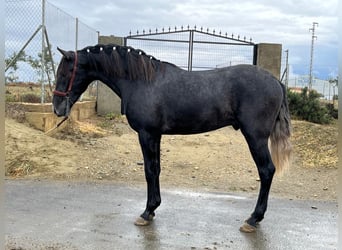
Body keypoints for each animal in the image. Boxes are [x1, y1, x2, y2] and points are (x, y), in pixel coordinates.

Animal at [53, 44, 292, 232]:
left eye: (64, 74)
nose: (57, 108)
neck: (142, 81)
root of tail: (275, 81)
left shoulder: (146, 134)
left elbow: (149, 171)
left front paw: (146, 212)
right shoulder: (155, 135)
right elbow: (156, 169)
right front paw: (153, 209)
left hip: (255, 138)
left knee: (266, 171)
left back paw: (253, 219)